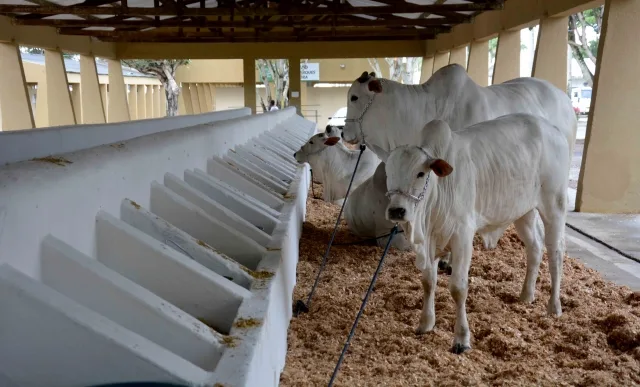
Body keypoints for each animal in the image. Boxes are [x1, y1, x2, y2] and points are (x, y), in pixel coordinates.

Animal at [384, 116, 568, 358]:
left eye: (420, 173)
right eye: (388, 172)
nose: (397, 210)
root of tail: (553, 129)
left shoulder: (462, 237)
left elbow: (458, 289)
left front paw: (461, 339)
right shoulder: (431, 243)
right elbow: (428, 282)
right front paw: (426, 323)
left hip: (554, 206)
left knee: (555, 252)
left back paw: (554, 306)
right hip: (523, 212)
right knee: (535, 247)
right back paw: (526, 295)